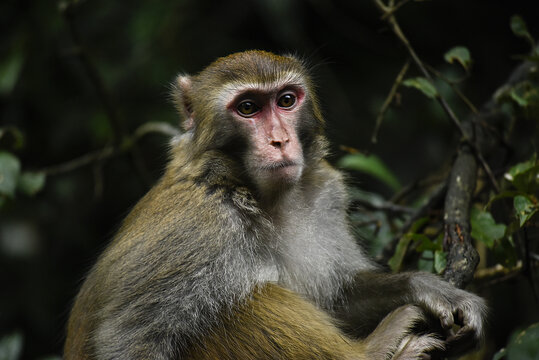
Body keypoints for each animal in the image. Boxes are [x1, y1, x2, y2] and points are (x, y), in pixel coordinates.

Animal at [64, 50, 490, 360]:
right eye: (248, 108)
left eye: (286, 100)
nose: (280, 141)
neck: (255, 195)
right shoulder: (196, 230)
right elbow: (130, 341)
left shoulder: (325, 196)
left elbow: (337, 298)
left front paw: (427, 288)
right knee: (245, 297)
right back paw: (376, 351)